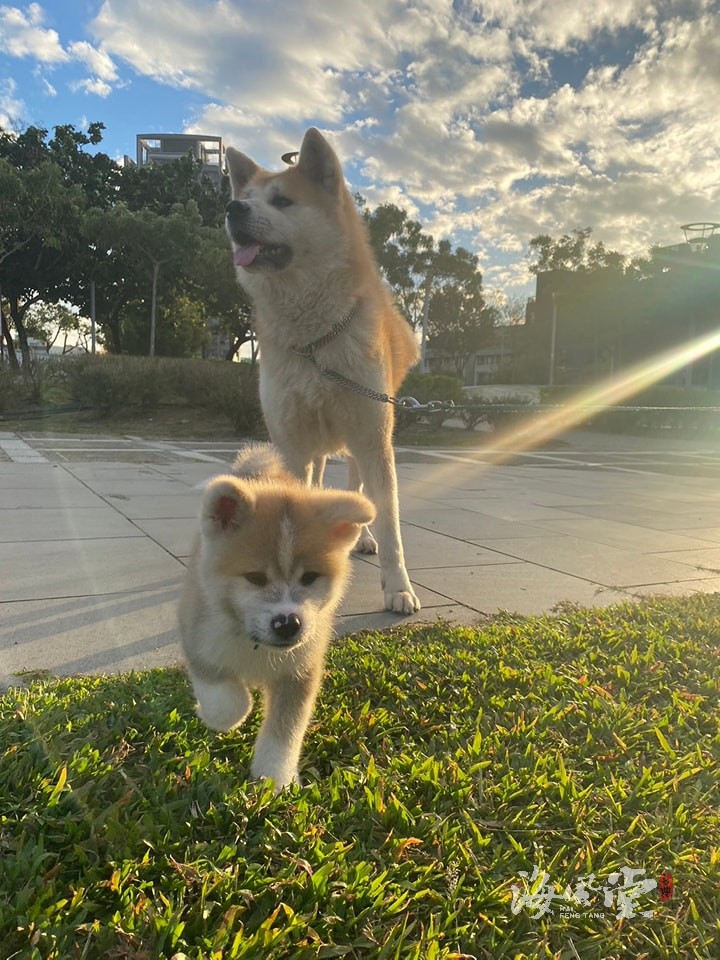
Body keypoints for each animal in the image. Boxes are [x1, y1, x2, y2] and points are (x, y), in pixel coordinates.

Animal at [179, 442, 374, 788]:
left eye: (309, 577)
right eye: (255, 577)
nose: (287, 624)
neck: (256, 646)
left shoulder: (300, 670)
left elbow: (285, 733)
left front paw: (275, 780)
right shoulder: (198, 639)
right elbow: (227, 702)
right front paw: (212, 714)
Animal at [222, 127, 420, 616]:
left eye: (283, 201)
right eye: (245, 198)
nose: (233, 209)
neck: (315, 343)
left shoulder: (372, 435)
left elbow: (390, 524)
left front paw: (398, 587)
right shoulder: (293, 442)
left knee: (360, 489)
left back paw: (360, 538)